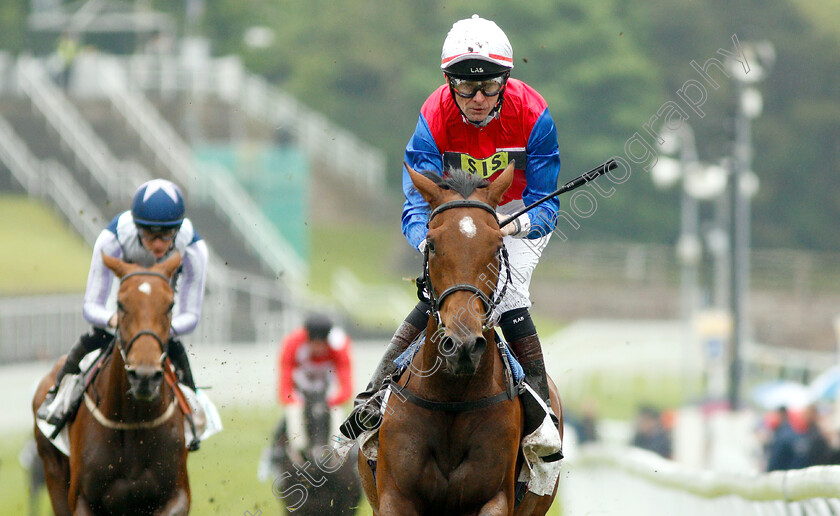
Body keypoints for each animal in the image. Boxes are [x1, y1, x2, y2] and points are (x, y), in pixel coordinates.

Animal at [32, 252, 189, 512]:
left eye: (171, 305)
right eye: (120, 304)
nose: (144, 376)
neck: (134, 422)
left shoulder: (176, 496)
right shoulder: (82, 500)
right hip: (53, 474)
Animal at [360, 162, 560, 516]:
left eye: (497, 246)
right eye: (432, 244)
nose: (463, 346)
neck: (451, 396)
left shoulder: (495, 497)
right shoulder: (395, 497)